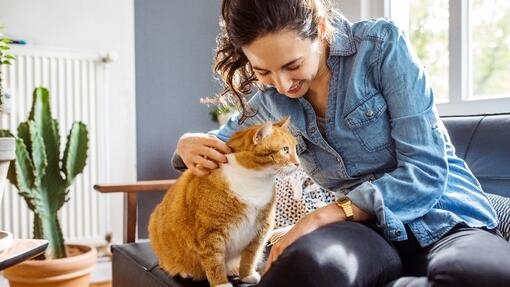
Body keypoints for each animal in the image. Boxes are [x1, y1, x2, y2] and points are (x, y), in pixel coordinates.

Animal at [148, 117, 298, 287]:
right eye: (285, 150)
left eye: (295, 149)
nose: (298, 163)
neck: (254, 181)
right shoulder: (210, 233)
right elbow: (215, 262)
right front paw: (221, 283)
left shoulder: (260, 230)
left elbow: (250, 257)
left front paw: (247, 275)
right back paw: (185, 271)